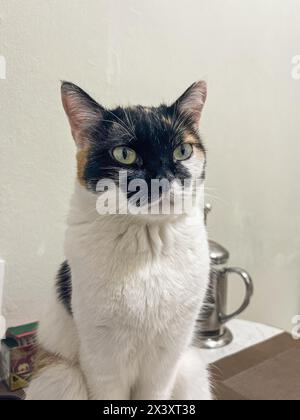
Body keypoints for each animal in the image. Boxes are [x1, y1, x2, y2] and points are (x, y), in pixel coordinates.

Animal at [27, 79, 211, 400]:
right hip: (60, 375)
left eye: (183, 151)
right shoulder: (103, 358)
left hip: (190, 370)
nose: (163, 178)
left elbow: (156, 393)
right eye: (124, 154)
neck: (149, 244)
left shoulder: (168, 355)